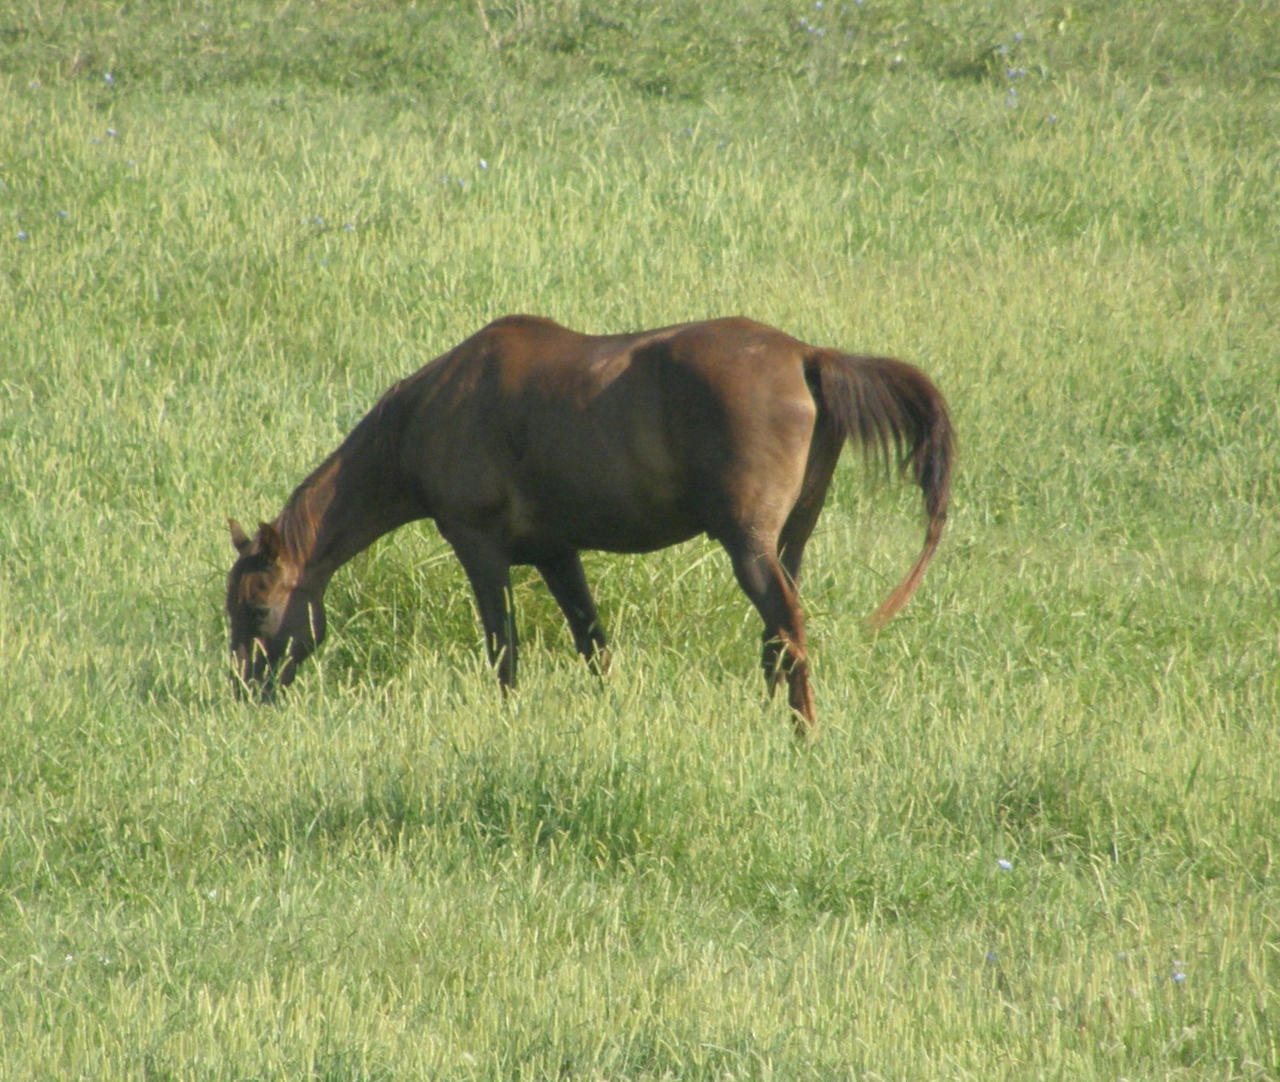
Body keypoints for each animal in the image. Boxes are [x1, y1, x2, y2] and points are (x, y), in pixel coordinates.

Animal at [227, 314, 952, 732]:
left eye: (257, 609)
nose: (243, 694)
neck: (426, 416)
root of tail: (805, 356)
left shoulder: (479, 547)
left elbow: (503, 649)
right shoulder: (557, 555)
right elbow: (593, 645)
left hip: (748, 548)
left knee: (790, 633)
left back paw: (803, 737)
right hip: (788, 543)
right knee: (778, 636)